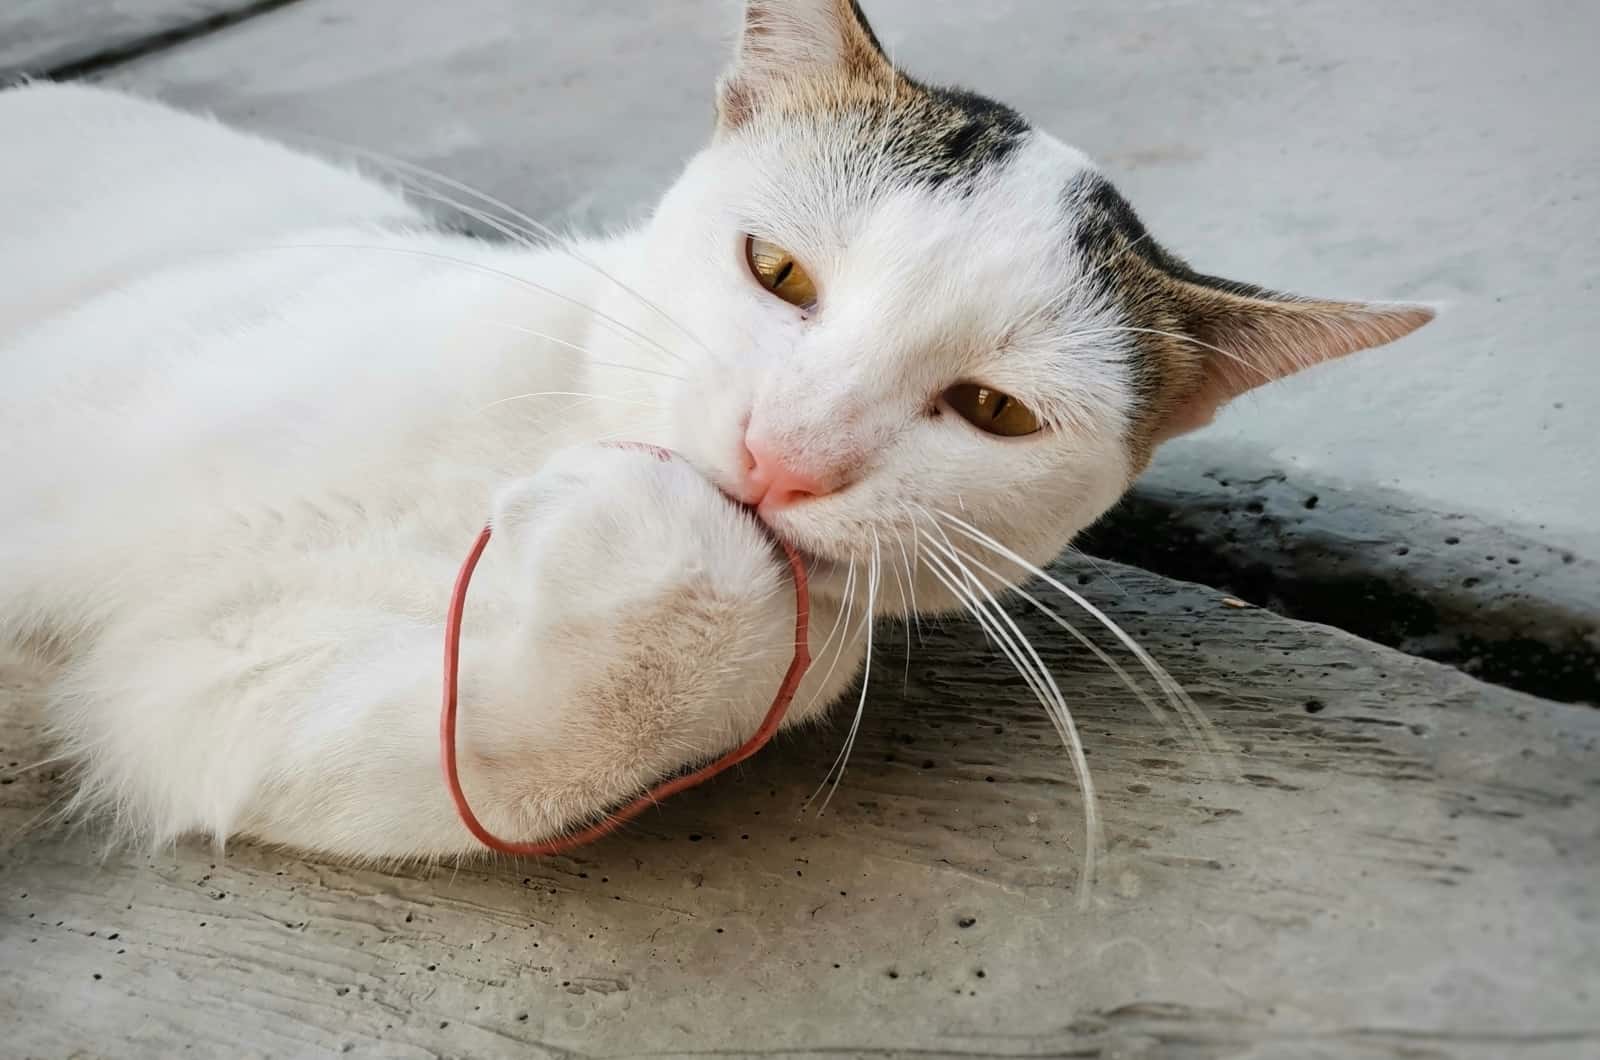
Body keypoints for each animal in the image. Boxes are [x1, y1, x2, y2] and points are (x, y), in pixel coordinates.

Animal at [0, 2, 1427, 864]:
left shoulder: (203, 685)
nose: (784, 453)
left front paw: (648, 549)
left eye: (993, 411)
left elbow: (483, 758)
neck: (539, 427)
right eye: (776, 271)